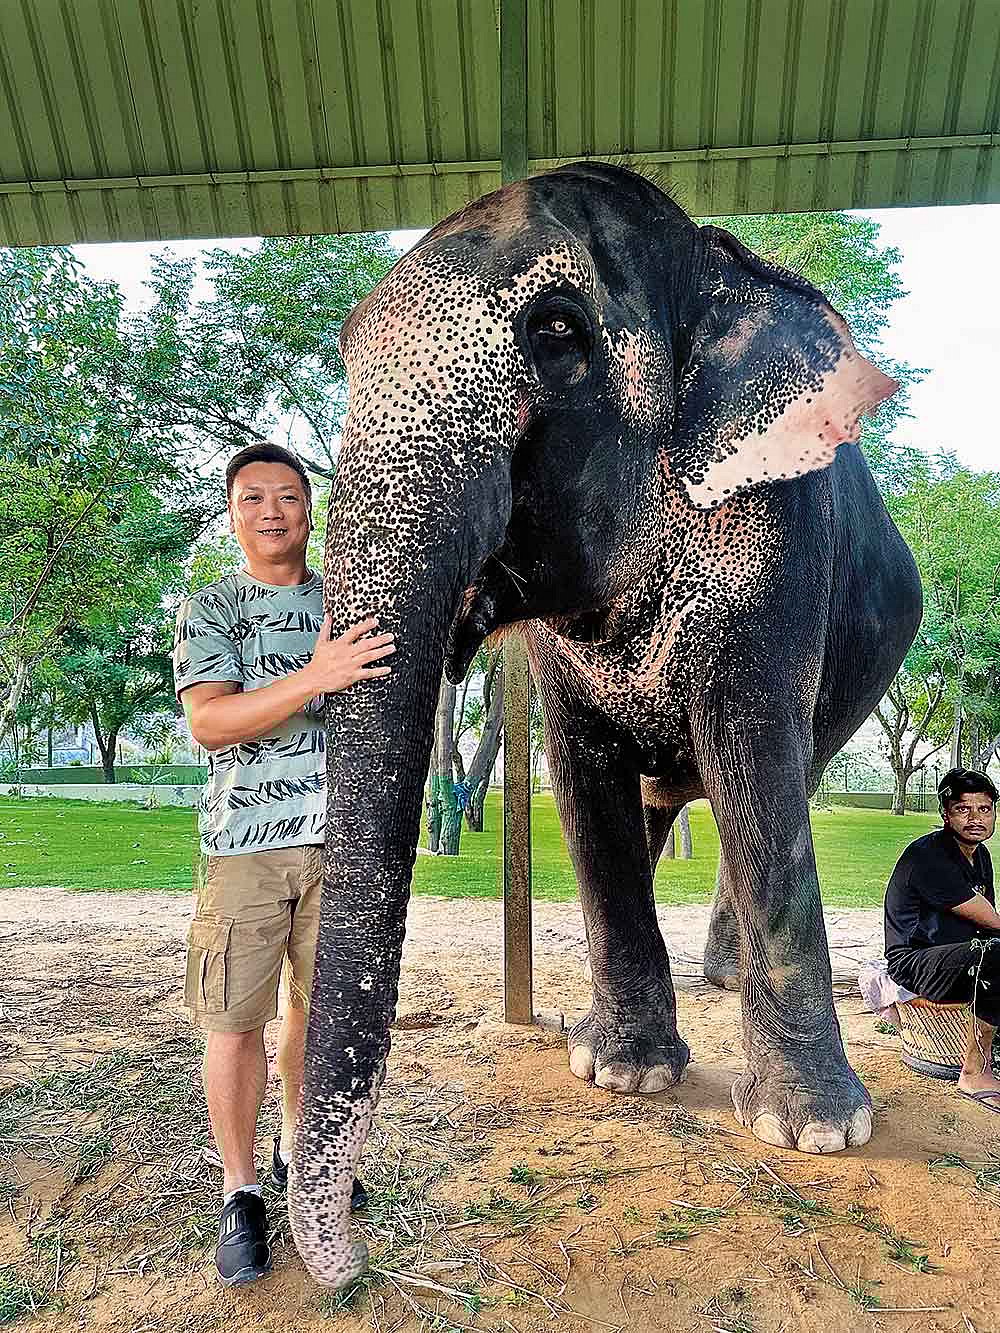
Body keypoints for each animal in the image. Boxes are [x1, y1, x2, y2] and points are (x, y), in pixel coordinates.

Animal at [288, 163, 922, 1287]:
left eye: (557, 330)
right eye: (348, 348)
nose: (355, 1258)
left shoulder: (779, 548)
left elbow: (755, 761)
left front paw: (813, 1132)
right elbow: (584, 788)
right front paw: (618, 1071)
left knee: (785, 785)